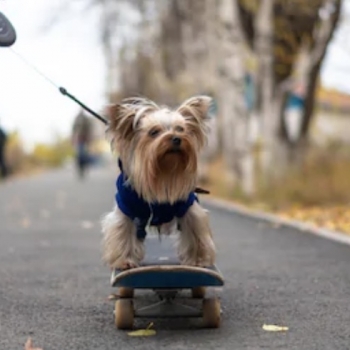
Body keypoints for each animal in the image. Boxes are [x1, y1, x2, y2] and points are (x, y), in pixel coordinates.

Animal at [100, 95, 216, 270]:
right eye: (153, 132)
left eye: (181, 129)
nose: (176, 138)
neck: (164, 172)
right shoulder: (126, 207)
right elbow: (123, 230)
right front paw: (125, 260)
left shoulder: (188, 206)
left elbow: (195, 230)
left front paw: (198, 259)